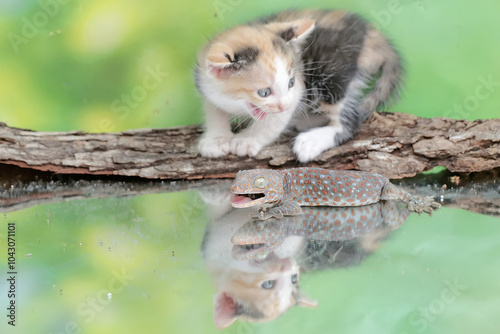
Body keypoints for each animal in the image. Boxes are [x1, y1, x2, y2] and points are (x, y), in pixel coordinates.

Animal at [195, 8, 402, 162]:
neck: (234, 101)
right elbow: (213, 109)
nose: (285, 104)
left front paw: (247, 139)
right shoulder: (205, 82)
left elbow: (274, 121)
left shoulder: (298, 91)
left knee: (350, 119)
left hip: (332, 70)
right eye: (264, 92)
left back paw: (312, 139)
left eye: (291, 83)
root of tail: (373, 37)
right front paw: (216, 139)